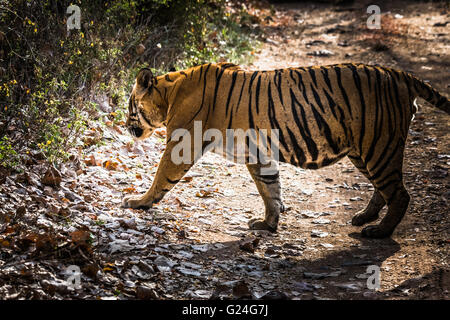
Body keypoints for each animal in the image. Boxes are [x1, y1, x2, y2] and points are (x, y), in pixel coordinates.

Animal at [122, 62, 450, 238]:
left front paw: (138, 202)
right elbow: (270, 189)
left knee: (400, 194)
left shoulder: (182, 143)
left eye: (130, 106)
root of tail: (397, 73)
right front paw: (268, 223)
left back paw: (379, 231)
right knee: (383, 189)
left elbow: (161, 176)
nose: (124, 124)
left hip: (379, 147)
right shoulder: (258, 154)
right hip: (365, 151)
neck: (170, 92)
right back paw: (364, 217)